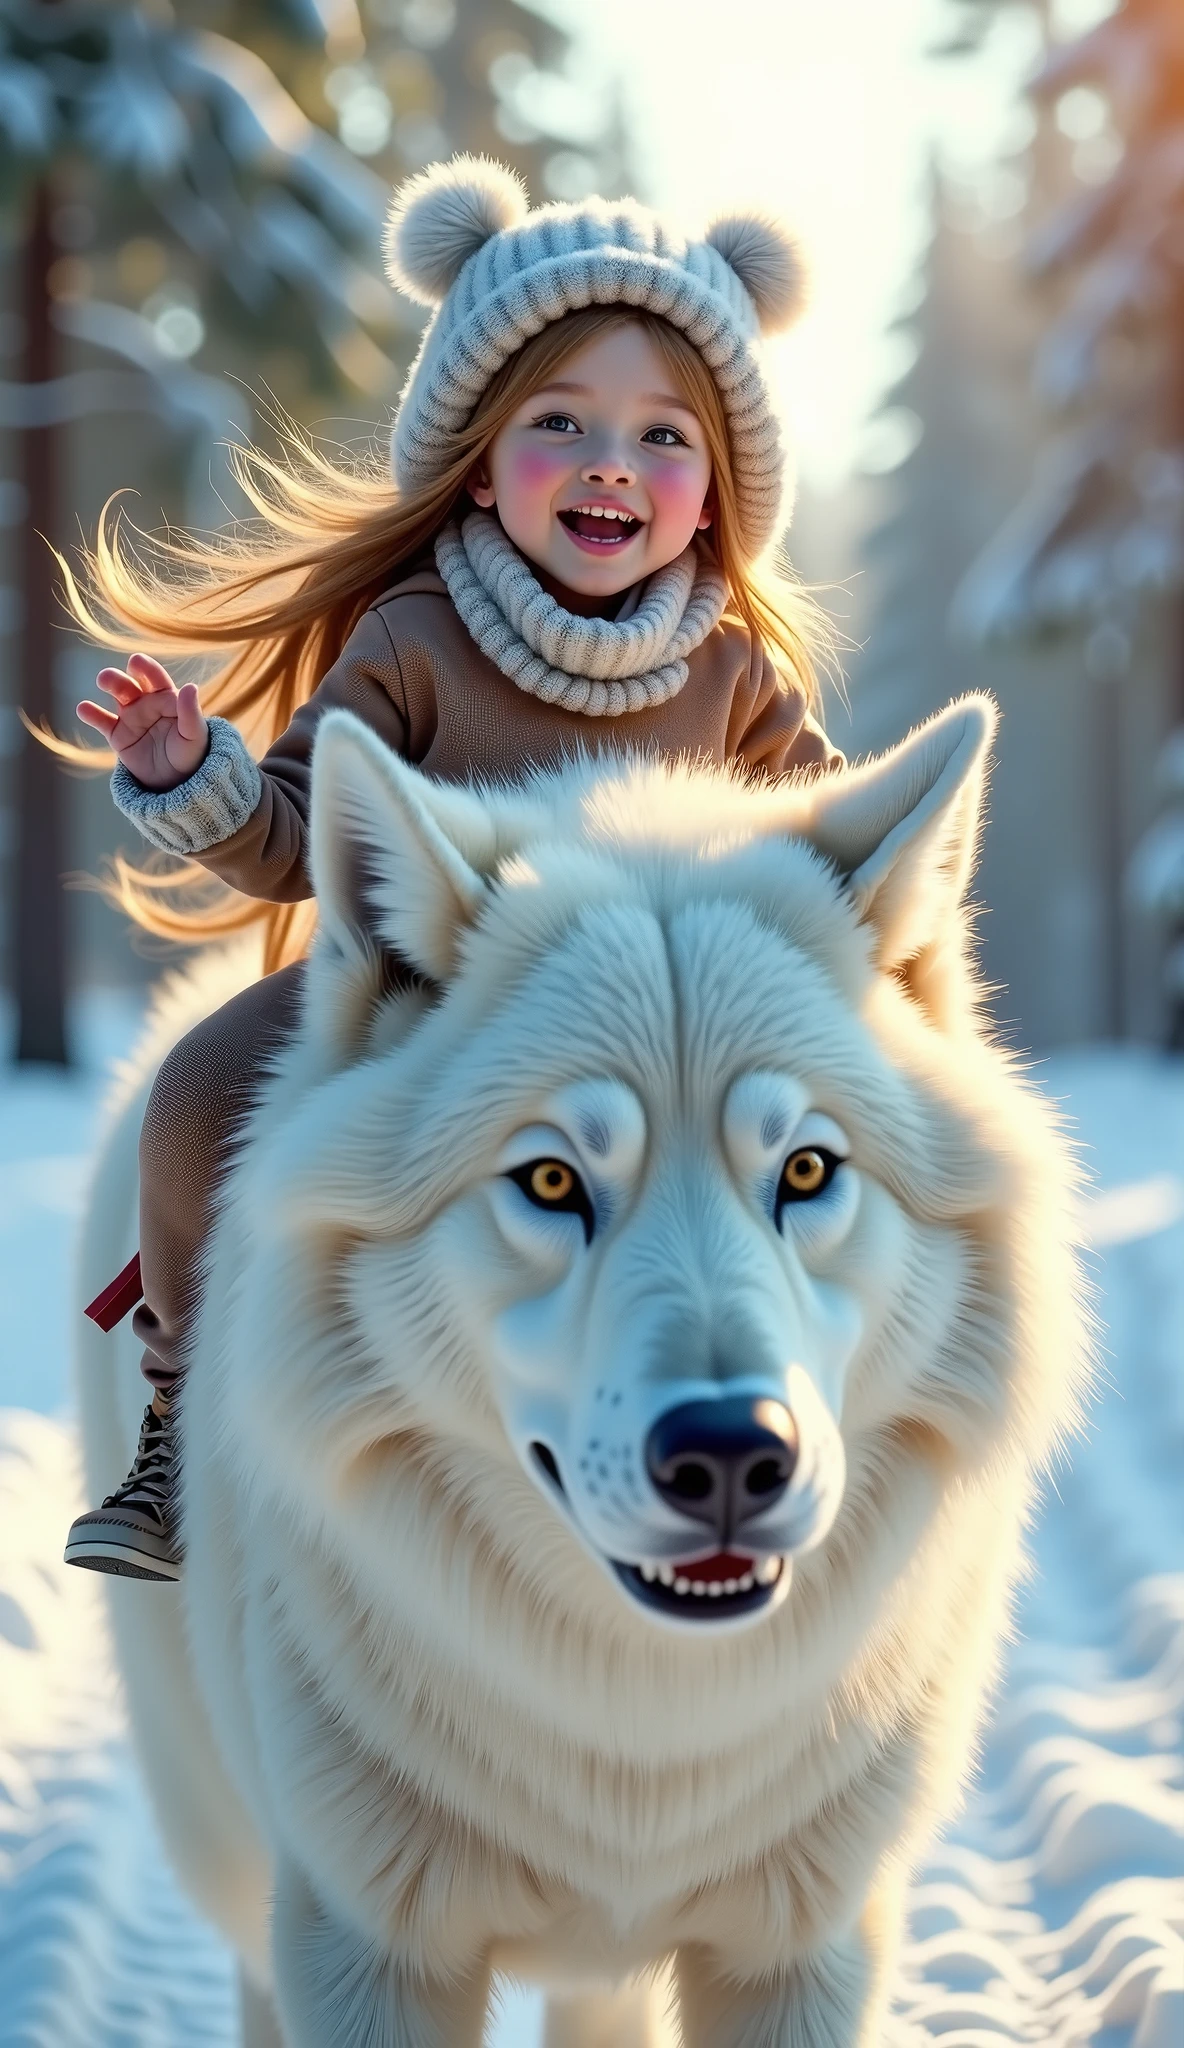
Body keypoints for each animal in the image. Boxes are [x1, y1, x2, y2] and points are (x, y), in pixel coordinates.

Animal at [76, 696, 1087, 2047]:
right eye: (552, 1179)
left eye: (804, 1169)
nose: (731, 1453)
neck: (637, 1729)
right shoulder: (364, 1938)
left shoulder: (802, 1943)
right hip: (230, 1837)